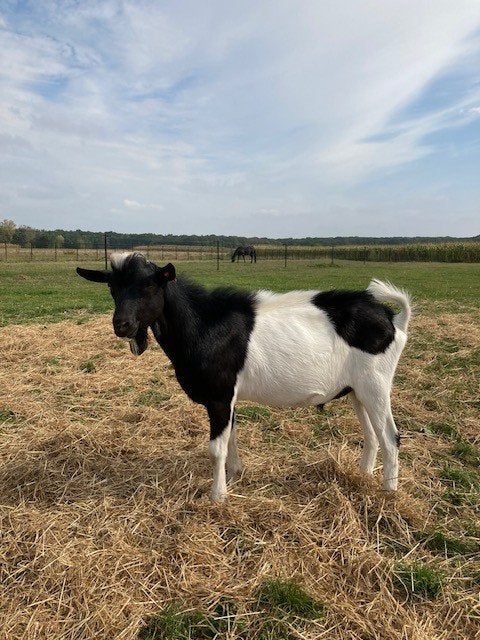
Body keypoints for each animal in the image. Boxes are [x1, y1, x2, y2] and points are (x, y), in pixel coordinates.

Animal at [77, 252, 411, 502]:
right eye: (112, 289)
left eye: (149, 288)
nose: (121, 325)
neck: (204, 324)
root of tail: (393, 320)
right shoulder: (229, 397)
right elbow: (232, 438)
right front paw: (235, 475)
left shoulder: (219, 395)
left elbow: (216, 448)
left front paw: (218, 496)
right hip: (356, 389)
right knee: (372, 435)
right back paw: (363, 476)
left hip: (376, 384)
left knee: (390, 436)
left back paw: (389, 492)